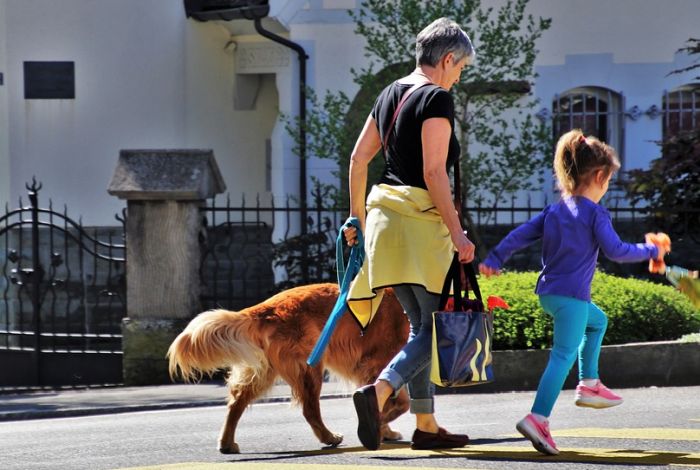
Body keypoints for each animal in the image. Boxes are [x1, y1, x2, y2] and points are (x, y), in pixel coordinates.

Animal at [167, 280, 410, 454]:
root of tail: (267, 308)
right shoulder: (378, 363)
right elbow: (397, 402)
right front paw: (380, 425)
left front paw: (383, 429)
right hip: (309, 367)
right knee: (309, 409)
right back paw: (329, 437)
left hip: (264, 371)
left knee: (236, 403)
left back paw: (227, 443)